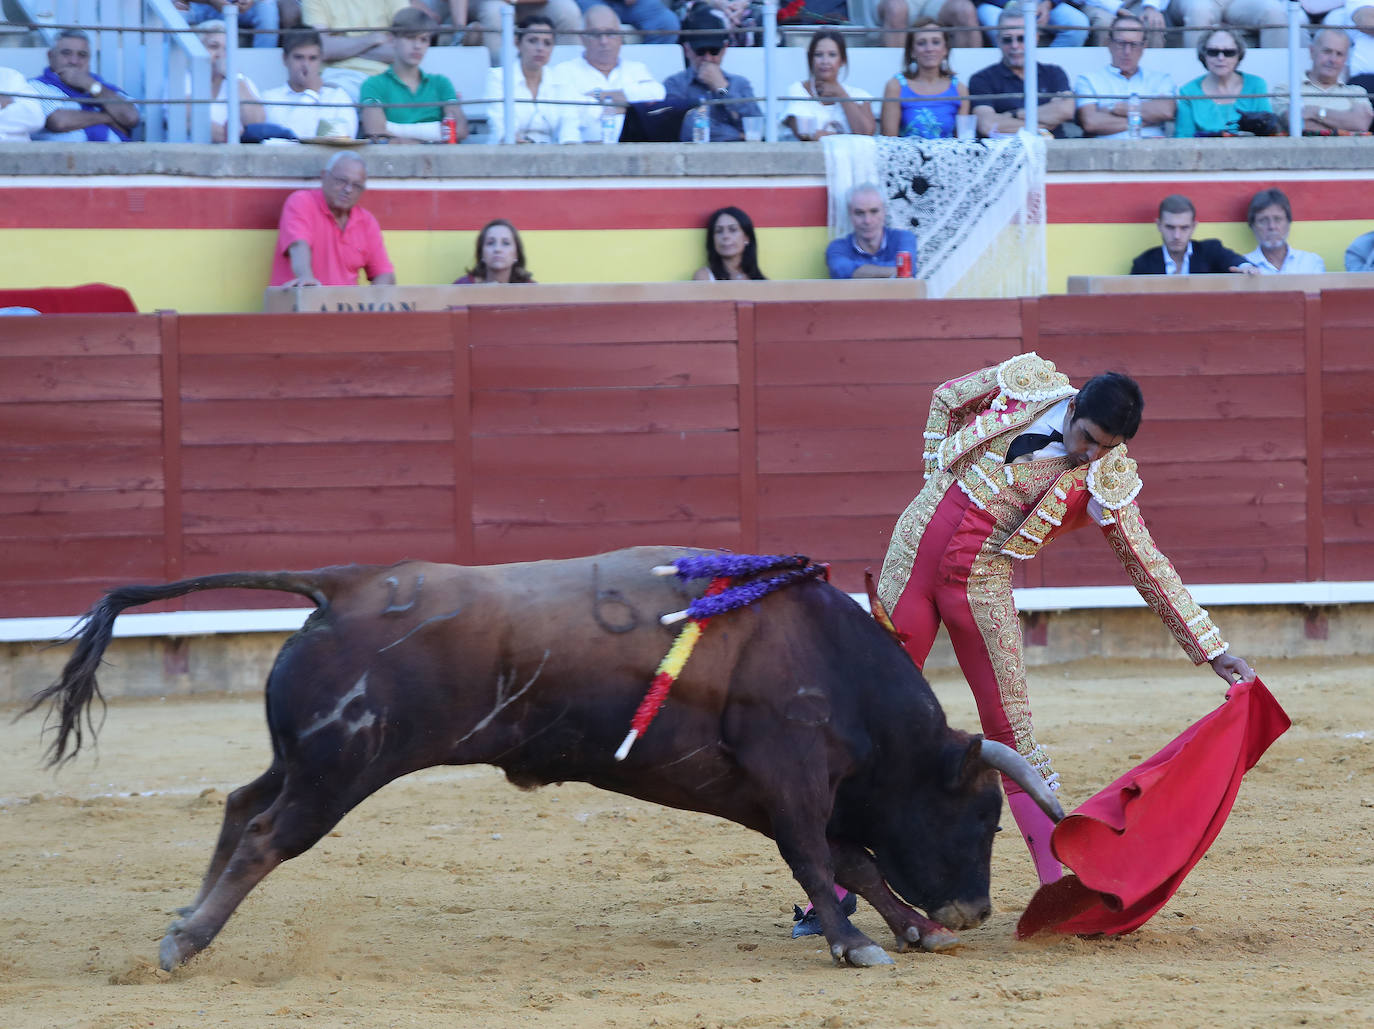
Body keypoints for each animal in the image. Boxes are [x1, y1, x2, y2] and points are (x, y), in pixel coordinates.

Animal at [29, 546, 1060, 972]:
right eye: (983, 813)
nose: (974, 911)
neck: (828, 656)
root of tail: (346, 583)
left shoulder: (774, 793)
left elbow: (854, 860)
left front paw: (911, 930)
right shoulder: (794, 778)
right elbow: (823, 859)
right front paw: (858, 944)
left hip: (309, 758)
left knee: (242, 804)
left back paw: (183, 922)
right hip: (341, 770)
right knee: (267, 835)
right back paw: (185, 943)